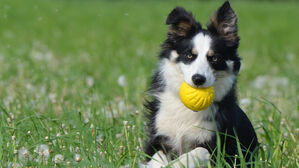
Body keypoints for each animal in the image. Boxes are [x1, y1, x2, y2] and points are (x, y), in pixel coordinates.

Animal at [145, 1, 258, 167]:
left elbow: (198, 151)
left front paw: (176, 164)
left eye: (215, 58)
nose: (198, 79)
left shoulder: (218, 147)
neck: (186, 109)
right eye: (189, 56)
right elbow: (156, 156)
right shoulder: (157, 137)